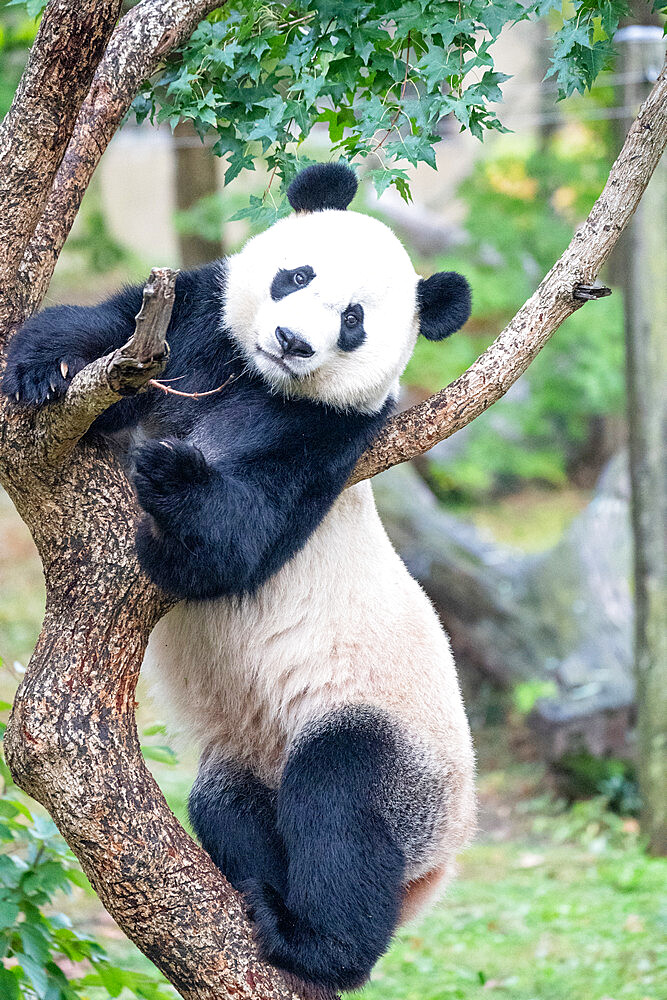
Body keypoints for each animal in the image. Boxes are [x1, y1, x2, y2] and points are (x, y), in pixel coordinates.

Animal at [3, 164, 474, 992]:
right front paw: (44, 363)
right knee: (227, 803)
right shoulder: (196, 326)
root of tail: (435, 869)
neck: (258, 380)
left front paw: (170, 474)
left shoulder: (328, 438)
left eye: (353, 321)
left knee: (342, 801)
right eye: (296, 275)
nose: (291, 342)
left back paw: (315, 943)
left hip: (402, 750)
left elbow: (231, 544)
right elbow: (113, 330)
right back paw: (257, 887)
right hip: (248, 759)